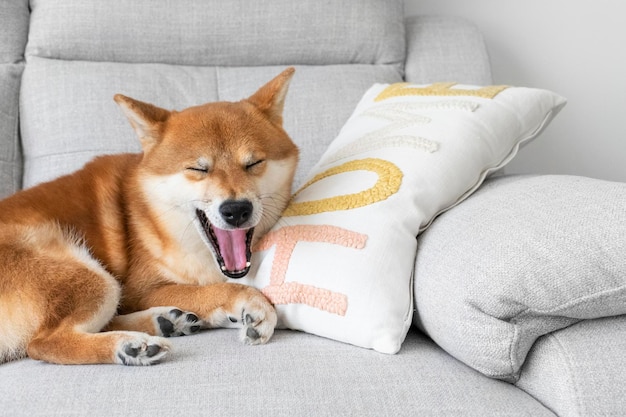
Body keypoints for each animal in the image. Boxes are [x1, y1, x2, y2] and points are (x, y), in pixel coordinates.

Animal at [0, 67, 298, 364]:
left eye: (254, 163)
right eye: (198, 169)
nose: (236, 210)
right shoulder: (139, 290)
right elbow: (216, 289)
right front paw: (252, 301)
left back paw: (165, 321)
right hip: (92, 277)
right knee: (43, 343)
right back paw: (130, 346)